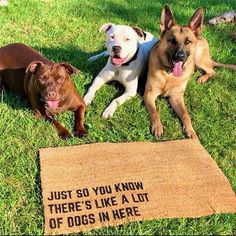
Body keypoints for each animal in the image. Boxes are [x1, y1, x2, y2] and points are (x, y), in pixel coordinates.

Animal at [144, 5, 236, 139]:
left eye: (187, 41)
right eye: (172, 40)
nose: (180, 56)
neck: (169, 75)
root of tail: (199, 36)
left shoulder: (176, 97)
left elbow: (185, 115)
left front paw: (190, 130)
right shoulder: (149, 95)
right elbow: (155, 112)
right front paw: (157, 126)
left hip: (198, 58)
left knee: (212, 71)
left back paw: (202, 78)